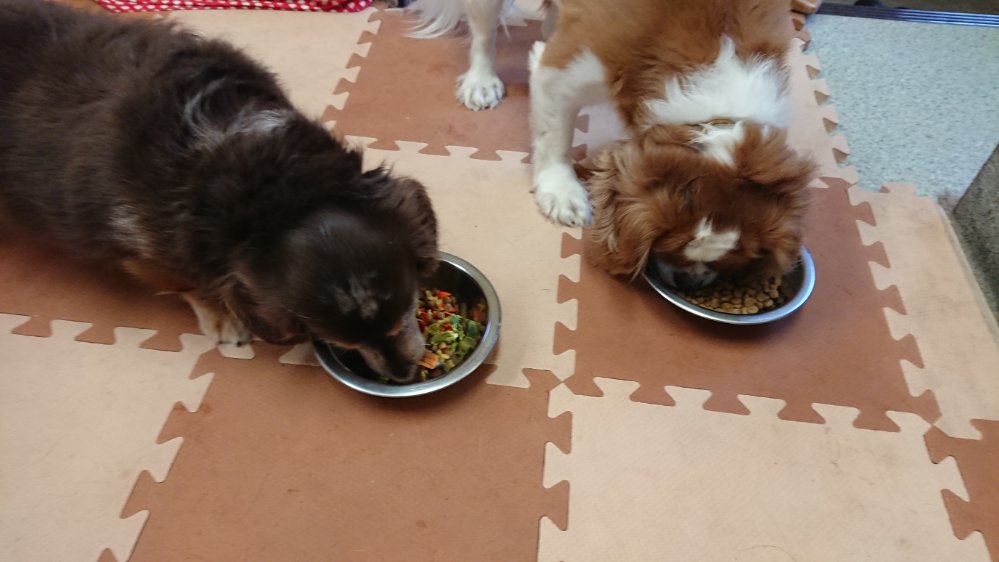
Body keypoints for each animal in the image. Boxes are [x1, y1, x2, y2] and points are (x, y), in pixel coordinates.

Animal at [0, 0, 438, 382]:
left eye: (406, 311)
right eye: (340, 342)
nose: (403, 374)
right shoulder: (145, 252)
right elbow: (192, 284)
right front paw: (225, 318)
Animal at [410, 0, 815, 288]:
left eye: (733, 262)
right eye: (670, 249)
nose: (691, 282)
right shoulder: (563, 68)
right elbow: (554, 136)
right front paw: (561, 192)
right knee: (484, 32)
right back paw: (481, 80)